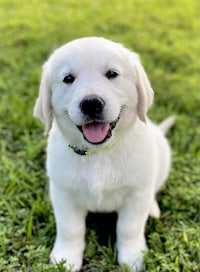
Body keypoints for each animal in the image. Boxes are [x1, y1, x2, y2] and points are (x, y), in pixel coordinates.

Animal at [33, 37, 174, 270]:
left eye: (112, 74)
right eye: (68, 78)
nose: (91, 104)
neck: (99, 153)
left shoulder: (136, 194)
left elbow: (129, 228)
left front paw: (133, 257)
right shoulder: (63, 193)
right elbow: (70, 229)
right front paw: (65, 258)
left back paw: (152, 208)